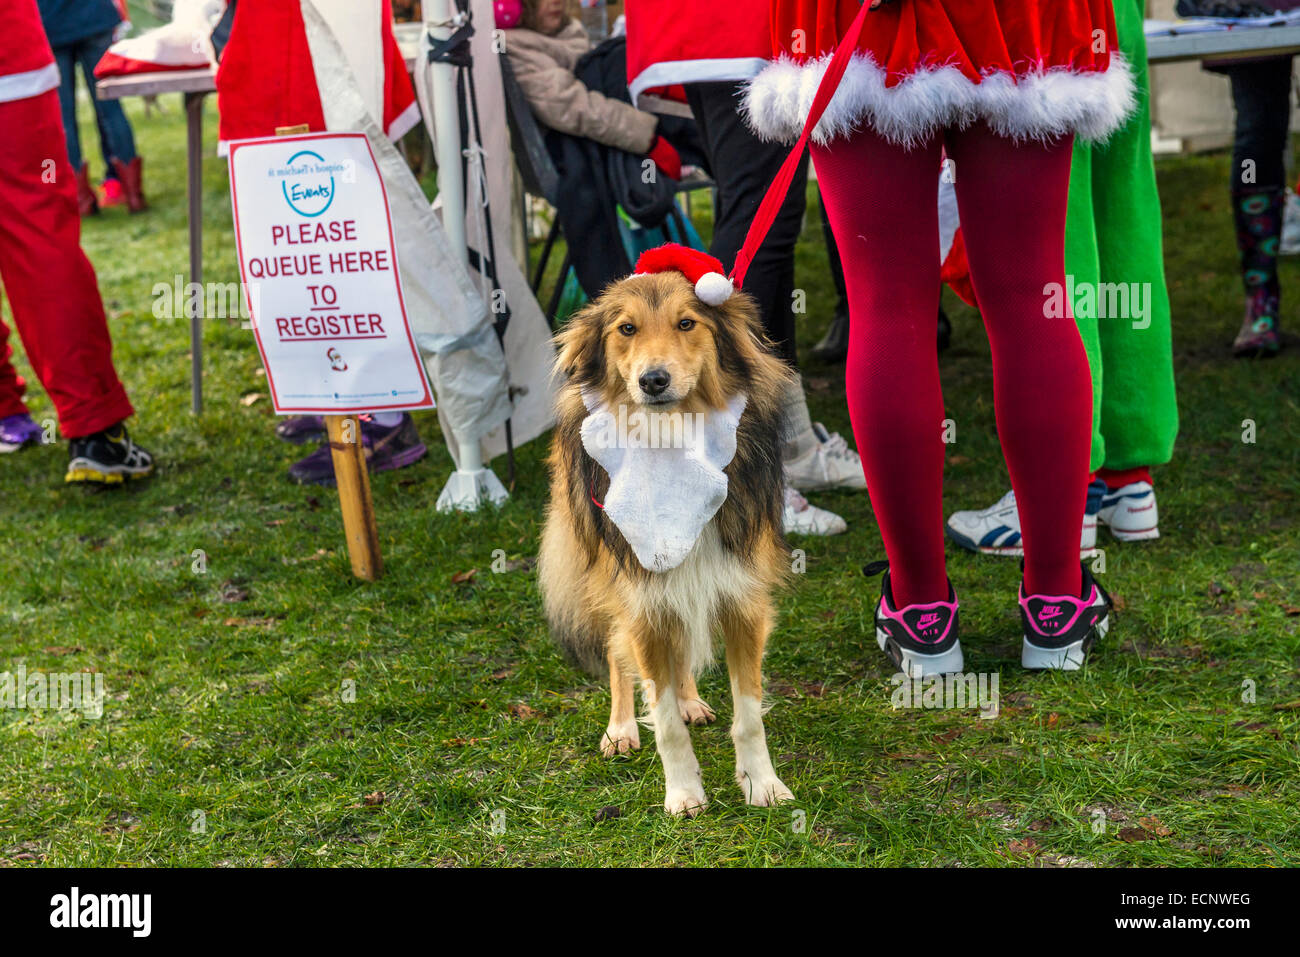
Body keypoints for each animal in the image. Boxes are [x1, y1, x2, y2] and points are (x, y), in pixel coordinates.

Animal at [535, 248, 790, 816]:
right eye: (626, 328)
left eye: (687, 323)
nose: (654, 380)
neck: (673, 436)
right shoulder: (642, 600)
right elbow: (666, 721)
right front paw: (684, 793)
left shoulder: (741, 596)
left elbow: (749, 715)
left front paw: (761, 783)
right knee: (618, 654)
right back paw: (621, 728)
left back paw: (691, 698)